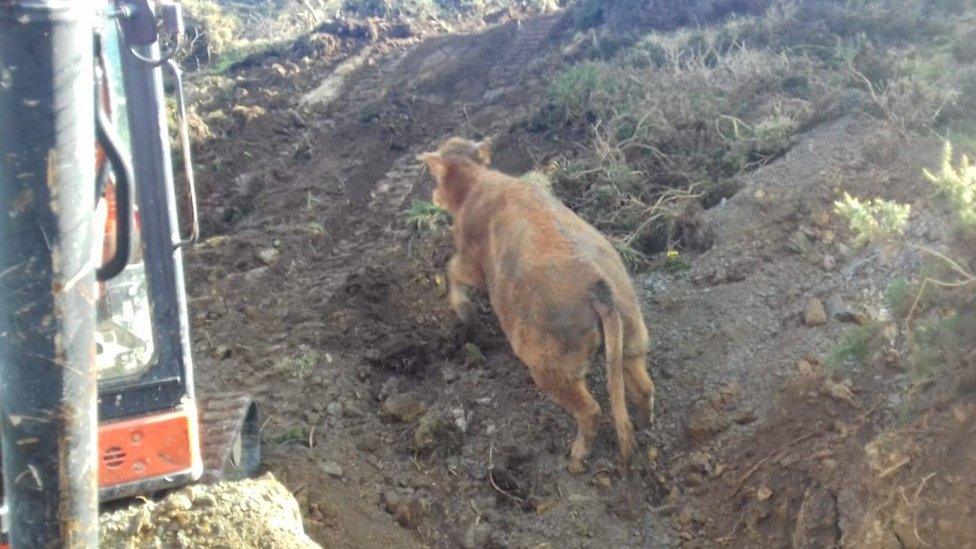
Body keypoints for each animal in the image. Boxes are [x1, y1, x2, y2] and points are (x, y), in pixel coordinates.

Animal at [420, 138, 656, 470]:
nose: (433, 195)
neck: (475, 182)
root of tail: (599, 287)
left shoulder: (471, 258)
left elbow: (453, 268)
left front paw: (467, 315)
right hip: (632, 334)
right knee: (643, 386)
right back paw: (645, 425)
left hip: (551, 365)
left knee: (592, 410)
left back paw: (574, 461)